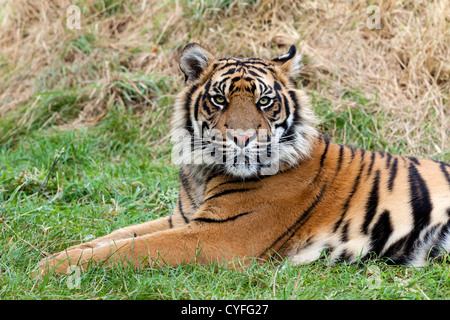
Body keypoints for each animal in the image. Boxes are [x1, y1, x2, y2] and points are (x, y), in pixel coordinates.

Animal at [37, 43, 450, 276]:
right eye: (219, 99)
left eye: (264, 101)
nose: (242, 138)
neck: (202, 172)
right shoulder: (182, 218)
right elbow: (113, 236)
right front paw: (54, 254)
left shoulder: (220, 234)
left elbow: (133, 248)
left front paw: (49, 268)